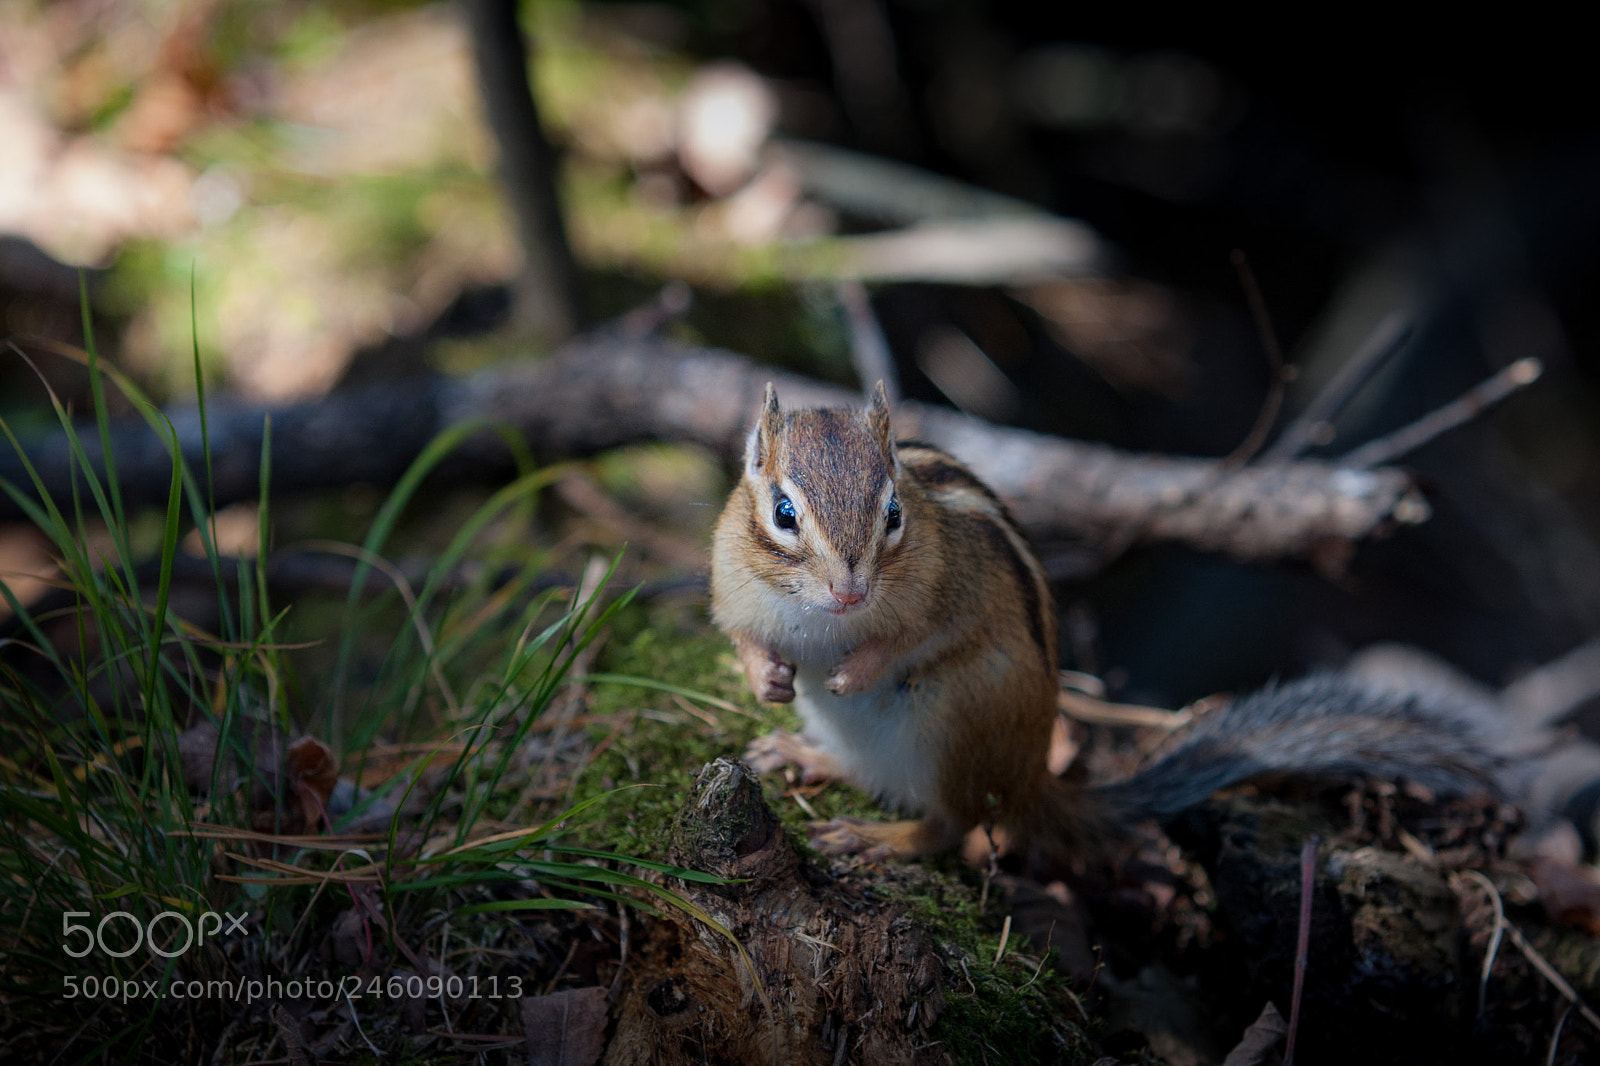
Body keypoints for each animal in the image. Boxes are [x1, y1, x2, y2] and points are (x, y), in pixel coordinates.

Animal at [710, 382, 1507, 869]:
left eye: (894, 514)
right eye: (784, 513)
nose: (849, 592)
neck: (817, 616)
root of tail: (1032, 781)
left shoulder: (943, 591)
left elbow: (912, 636)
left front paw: (855, 668)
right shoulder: (733, 585)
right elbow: (742, 635)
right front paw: (766, 676)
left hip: (957, 720)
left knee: (952, 824)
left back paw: (880, 836)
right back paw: (808, 754)